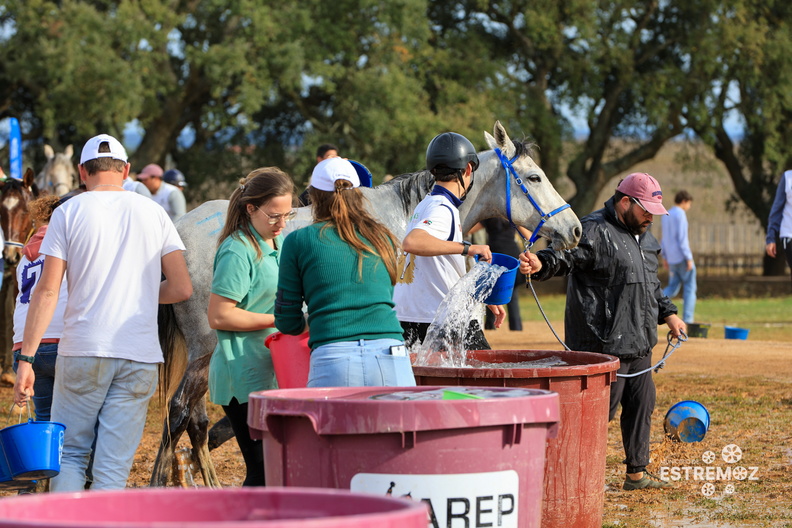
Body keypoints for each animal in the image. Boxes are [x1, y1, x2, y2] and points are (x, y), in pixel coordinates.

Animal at [150, 119, 580, 486]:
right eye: (534, 177)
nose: (574, 229)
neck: (404, 217)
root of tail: (177, 234)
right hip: (205, 349)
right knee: (179, 412)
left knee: (200, 418)